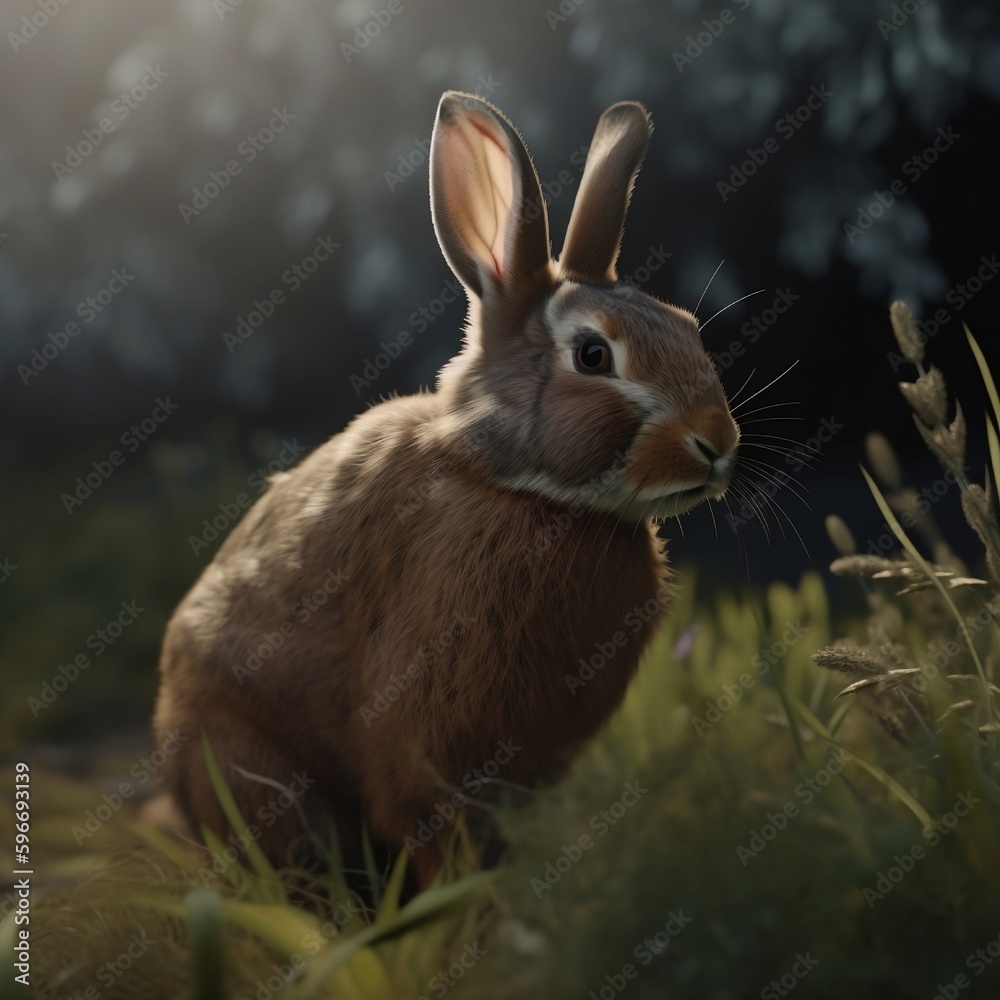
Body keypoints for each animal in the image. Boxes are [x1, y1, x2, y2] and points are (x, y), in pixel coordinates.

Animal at [152, 90, 739, 888]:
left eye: (686, 327)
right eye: (593, 355)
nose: (719, 442)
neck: (522, 490)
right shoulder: (428, 727)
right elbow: (428, 817)